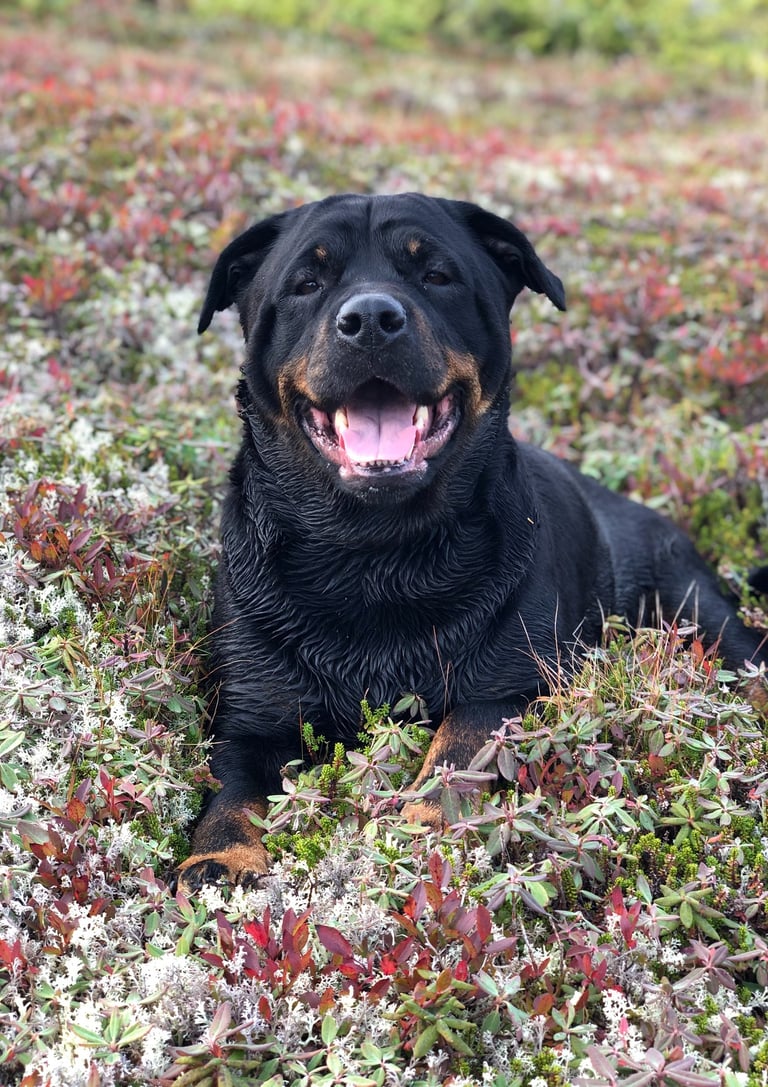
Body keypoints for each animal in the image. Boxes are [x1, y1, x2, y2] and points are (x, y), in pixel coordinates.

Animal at [177, 192, 766, 889]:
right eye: (307, 283)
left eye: (437, 275)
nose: (371, 318)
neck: (374, 555)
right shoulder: (251, 715)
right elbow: (233, 788)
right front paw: (219, 857)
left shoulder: (511, 684)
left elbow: (461, 740)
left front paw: (426, 820)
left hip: (698, 614)